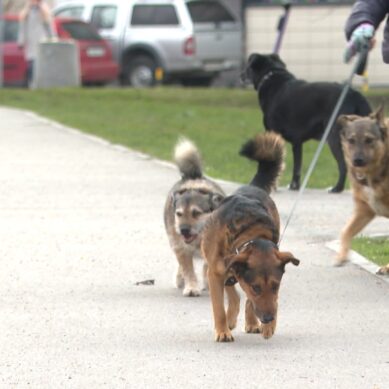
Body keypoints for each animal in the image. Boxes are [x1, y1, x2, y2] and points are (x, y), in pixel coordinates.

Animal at [164, 138, 224, 296]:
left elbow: (207, 266)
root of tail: (193, 176)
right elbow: (188, 269)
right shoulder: (181, 247)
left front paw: (208, 283)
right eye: (179, 214)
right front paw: (191, 287)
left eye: (196, 213)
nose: (183, 230)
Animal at [199, 132, 298, 342]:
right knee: (234, 295)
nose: (268, 319)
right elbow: (219, 308)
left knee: (241, 298)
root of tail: (253, 186)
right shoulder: (215, 273)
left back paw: (252, 322)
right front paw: (222, 331)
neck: (251, 236)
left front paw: (267, 326)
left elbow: (258, 302)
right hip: (223, 268)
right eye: (256, 287)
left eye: (276, 286)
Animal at [241, 52, 372, 192]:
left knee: (344, 166)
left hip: (335, 138)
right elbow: (297, 166)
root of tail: (355, 95)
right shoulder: (297, 142)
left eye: (248, 67)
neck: (271, 75)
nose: (240, 76)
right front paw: (294, 186)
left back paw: (337, 189)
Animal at [334, 105, 386, 272]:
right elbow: (345, 231)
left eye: (369, 140)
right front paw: (342, 256)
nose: (357, 161)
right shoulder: (364, 210)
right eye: (351, 140)